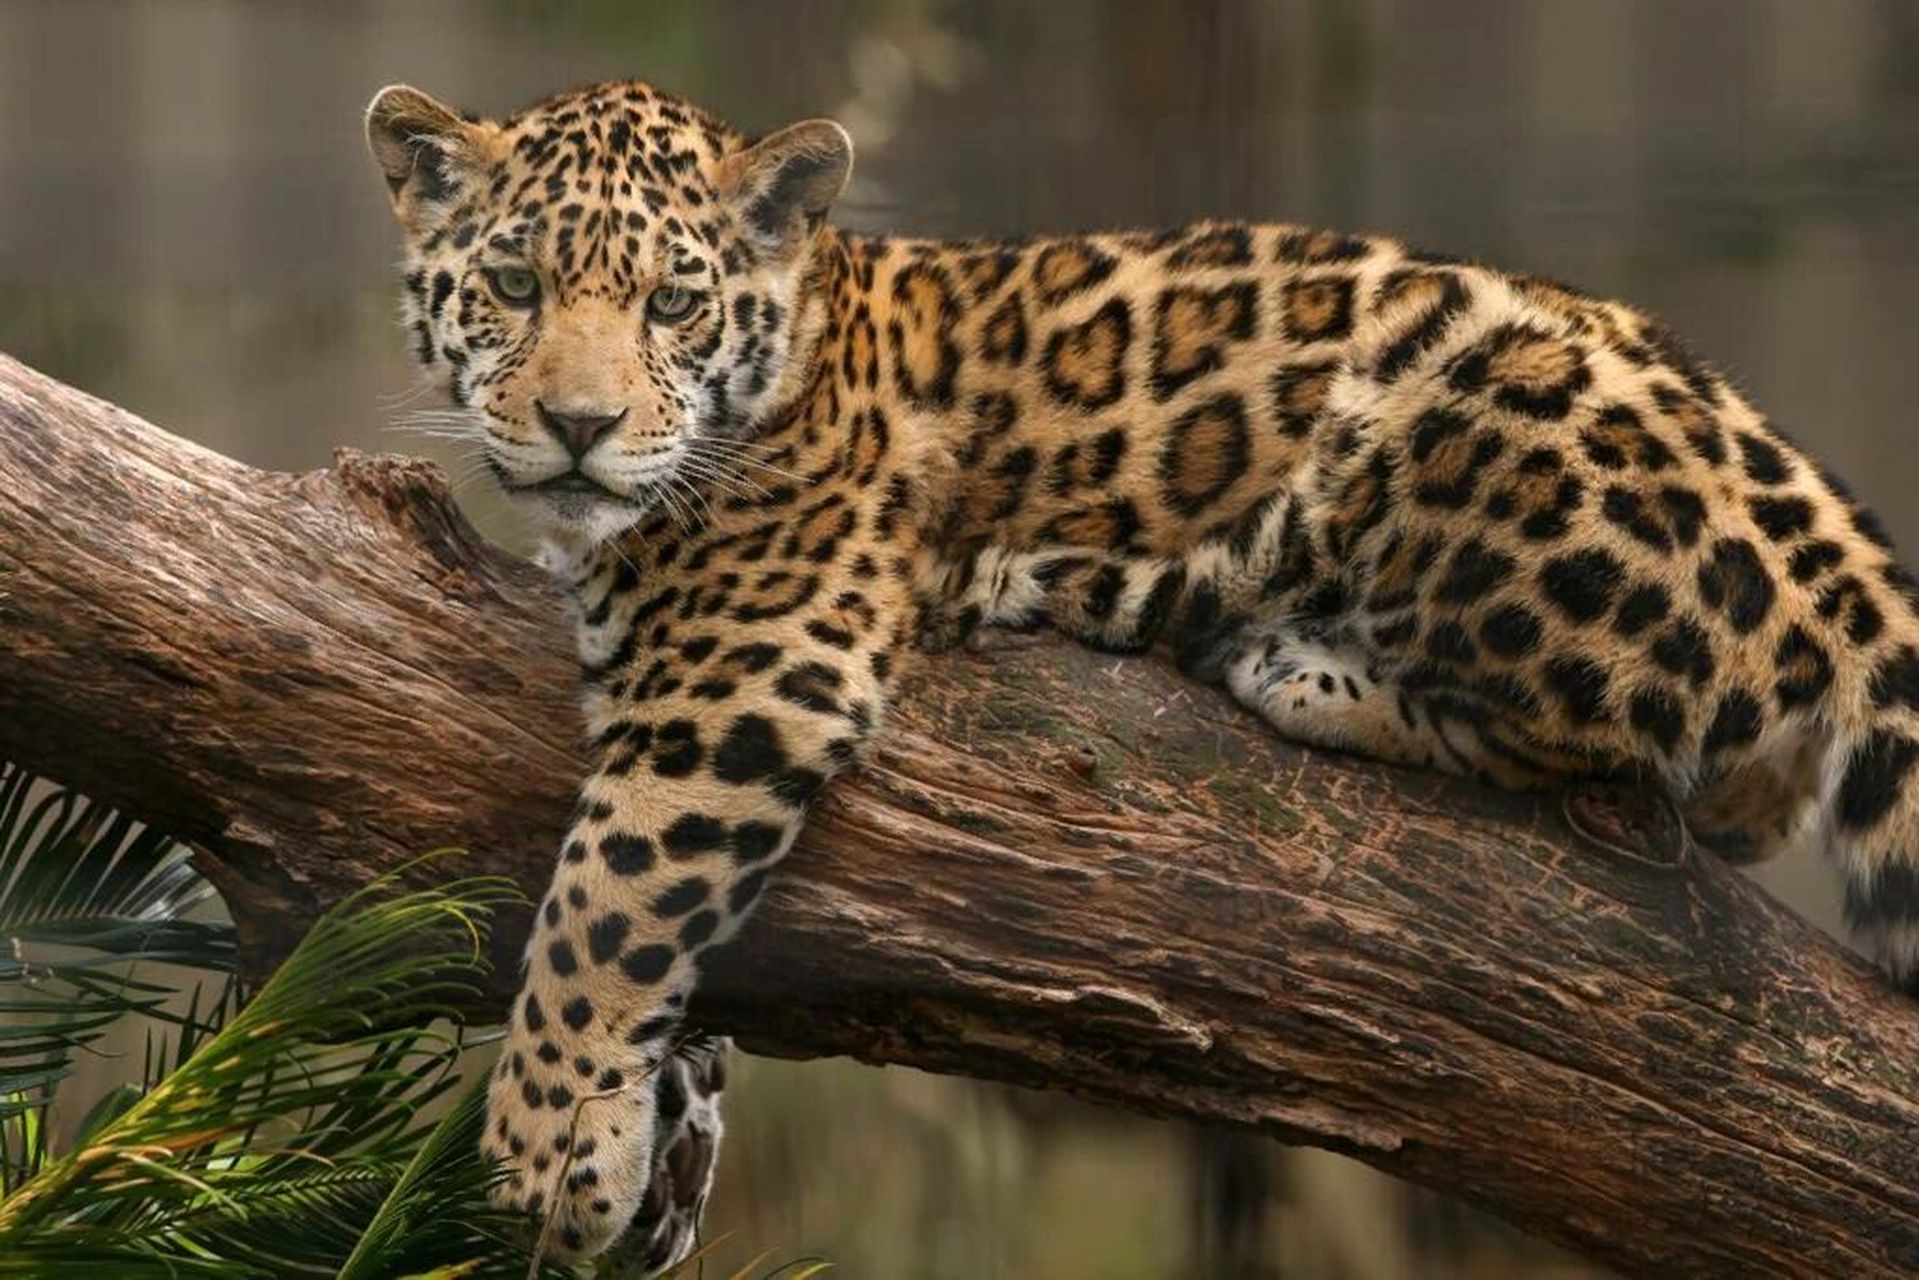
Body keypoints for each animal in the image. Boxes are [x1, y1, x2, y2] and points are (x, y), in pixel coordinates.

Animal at [365, 77, 1919, 1267]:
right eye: (513, 286)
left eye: (673, 304)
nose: (578, 424)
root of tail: (1816, 513)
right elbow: (678, 938)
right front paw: (661, 1133)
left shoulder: (746, 667)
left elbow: (607, 898)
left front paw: (543, 1145)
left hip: (1451, 404)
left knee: (1611, 730)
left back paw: (1272, 652)